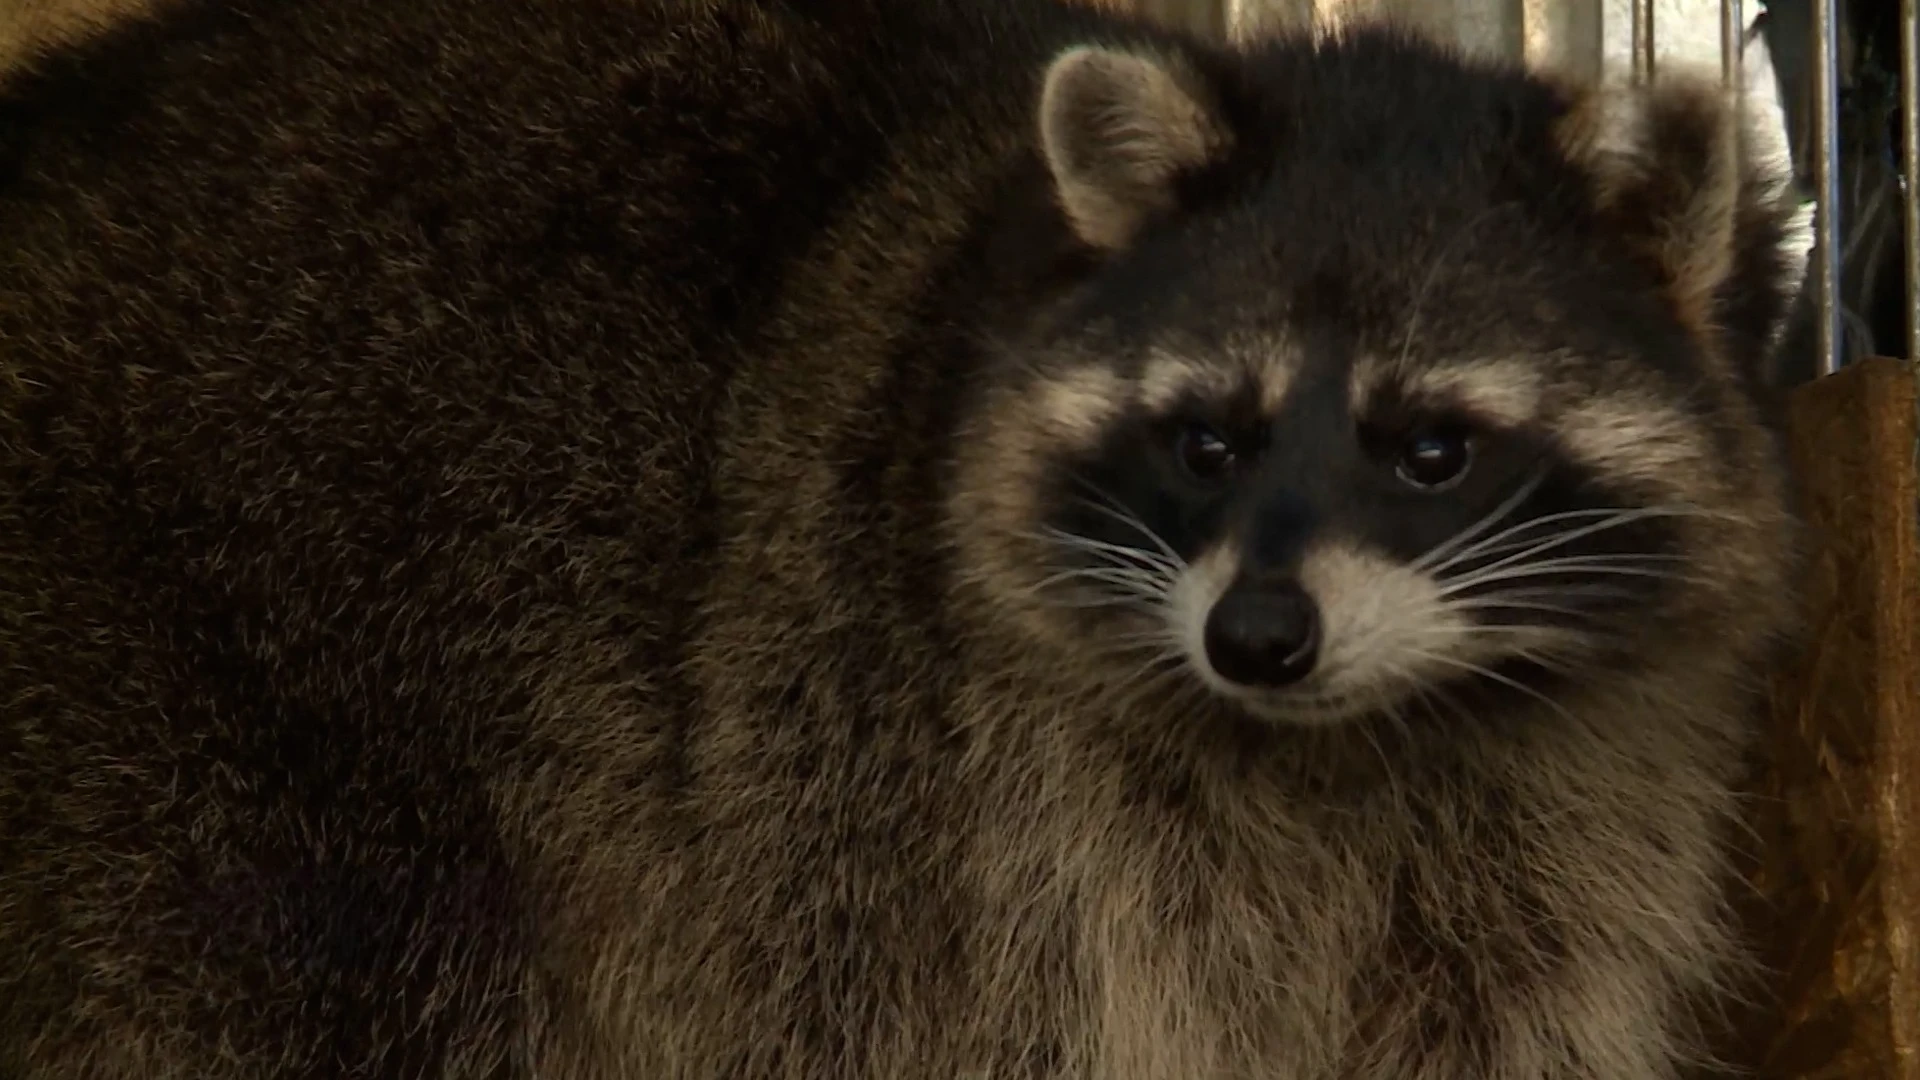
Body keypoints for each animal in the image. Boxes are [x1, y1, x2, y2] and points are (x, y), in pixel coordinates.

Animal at [0, 0, 1797, 1068]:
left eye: (1433, 451)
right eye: (1205, 440)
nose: (1258, 638)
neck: (1360, 736)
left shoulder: (1549, 824)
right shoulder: (917, 812)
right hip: (204, 764)